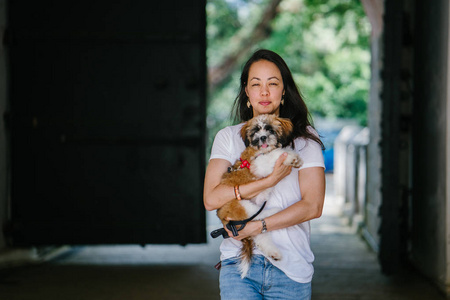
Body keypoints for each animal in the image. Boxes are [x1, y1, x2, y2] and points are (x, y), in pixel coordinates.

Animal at [216, 113, 304, 278]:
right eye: (256, 131)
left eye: (269, 129)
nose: (263, 137)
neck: (262, 151)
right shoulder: (259, 165)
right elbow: (276, 154)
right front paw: (290, 157)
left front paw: (295, 158)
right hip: (242, 205)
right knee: (257, 216)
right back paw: (274, 211)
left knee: (261, 233)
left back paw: (274, 252)